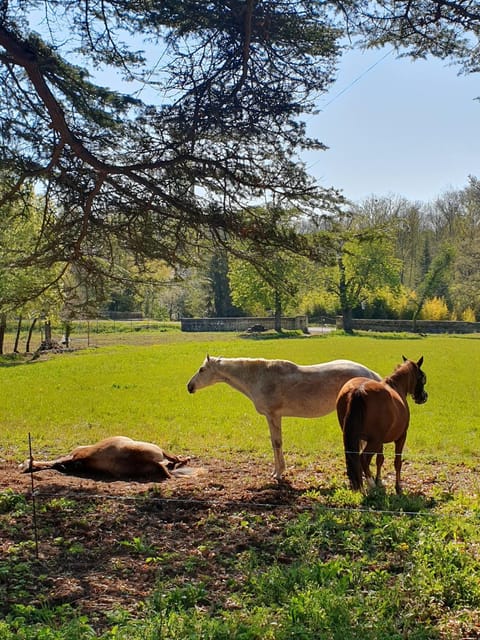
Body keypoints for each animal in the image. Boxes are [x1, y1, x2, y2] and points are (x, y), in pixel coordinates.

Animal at [186, 356, 380, 480]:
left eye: (202, 369)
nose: (189, 386)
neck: (260, 377)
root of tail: (370, 374)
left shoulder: (273, 415)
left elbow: (277, 443)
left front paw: (279, 474)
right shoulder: (272, 416)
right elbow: (274, 443)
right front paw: (276, 472)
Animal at [338, 358, 428, 492]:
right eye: (422, 377)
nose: (424, 396)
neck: (396, 387)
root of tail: (359, 390)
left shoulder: (380, 441)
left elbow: (379, 460)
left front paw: (379, 480)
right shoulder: (401, 437)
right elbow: (397, 462)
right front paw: (398, 486)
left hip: (358, 438)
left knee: (354, 458)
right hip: (374, 441)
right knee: (363, 458)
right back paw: (370, 484)